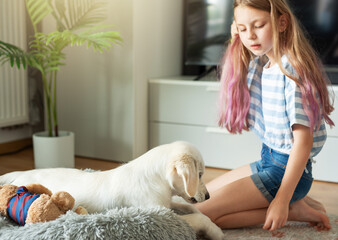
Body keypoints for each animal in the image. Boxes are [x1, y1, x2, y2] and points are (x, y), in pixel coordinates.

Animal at [0, 142, 224, 239]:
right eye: (200, 174)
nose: (208, 196)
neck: (156, 179)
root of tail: (21, 174)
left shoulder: (168, 204)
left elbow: (193, 209)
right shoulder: (159, 212)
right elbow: (197, 218)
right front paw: (216, 231)